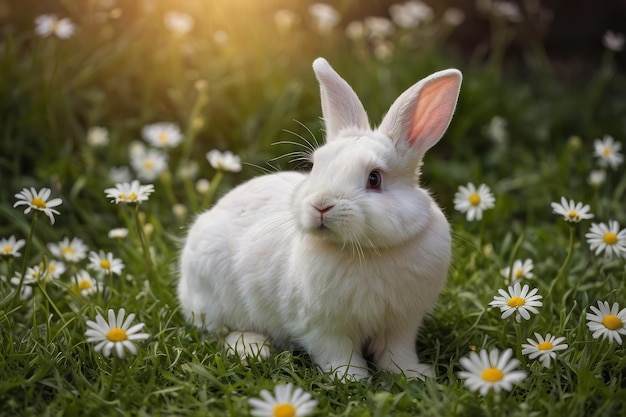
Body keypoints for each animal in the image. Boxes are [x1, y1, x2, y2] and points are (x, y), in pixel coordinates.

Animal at [178, 57, 460, 380]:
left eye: (374, 178)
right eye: (316, 167)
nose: (321, 205)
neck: (366, 251)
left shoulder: (402, 322)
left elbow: (396, 352)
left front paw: (412, 374)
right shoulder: (321, 326)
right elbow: (338, 353)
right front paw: (350, 379)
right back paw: (252, 348)